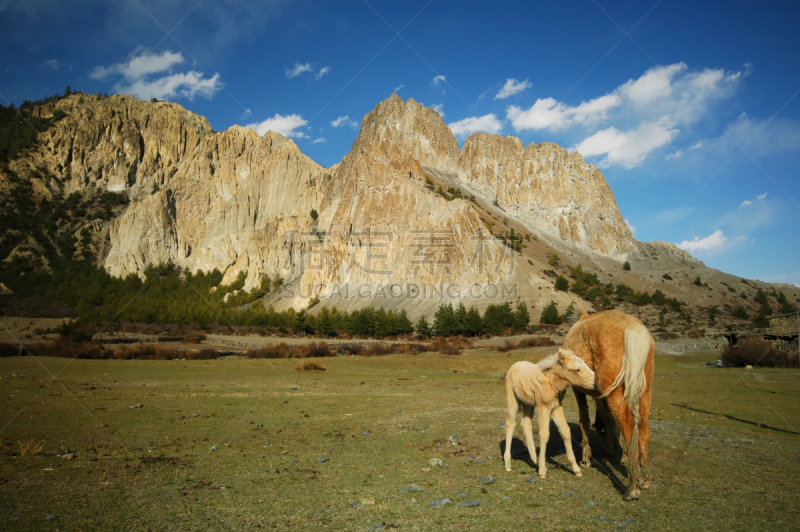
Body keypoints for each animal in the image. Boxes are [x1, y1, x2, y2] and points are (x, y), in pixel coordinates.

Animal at [504, 348, 596, 480]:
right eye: (577, 369)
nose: (596, 384)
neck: (552, 382)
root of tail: (515, 365)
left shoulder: (556, 408)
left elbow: (565, 431)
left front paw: (576, 469)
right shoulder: (543, 408)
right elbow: (544, 434)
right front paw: (542, 471)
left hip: (528, 403)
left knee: (526, 423)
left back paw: (534, 459)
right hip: (513, 400)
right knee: (510, 424)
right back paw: (508, 464)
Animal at [564, 310, 656, 500]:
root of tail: (632, 327)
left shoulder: (578, 390)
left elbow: (585, 420)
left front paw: (586, 457)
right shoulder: (603, 397)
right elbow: (610, 421)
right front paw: (617, 452)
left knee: (628, 425)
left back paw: (632, 488)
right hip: (644, 391)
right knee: (643, 427)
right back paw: (644, 479)